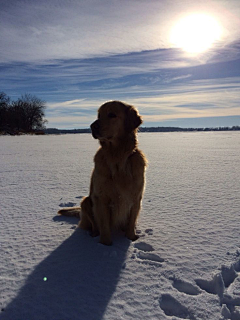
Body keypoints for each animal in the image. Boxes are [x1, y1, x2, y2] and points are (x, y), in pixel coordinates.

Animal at [59, 100, 147, 245]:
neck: (117, 158)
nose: (92, 126)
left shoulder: (136, 198)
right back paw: (94, 234)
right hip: (86, 202)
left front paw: (131, 238)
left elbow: (131, 223)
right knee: (94, 225)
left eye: (112, 114)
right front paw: (105, 245)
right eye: (99, 115)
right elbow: (104, 226)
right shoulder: (101, 198)